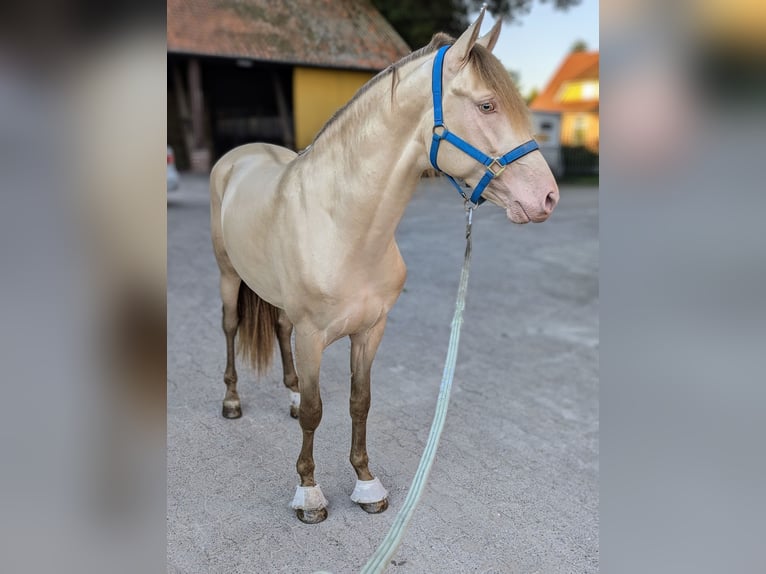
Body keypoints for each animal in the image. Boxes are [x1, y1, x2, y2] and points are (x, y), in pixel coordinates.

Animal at [210, 9, 560, 528]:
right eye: (487, 105)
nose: (547, 197)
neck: (344, 227)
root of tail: (240, 154)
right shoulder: (313, 337)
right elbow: (316, 410)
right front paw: (309, 494)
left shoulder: (371, 330)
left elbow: (360, 402)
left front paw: (366, 484)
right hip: (229, 276)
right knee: (232, 327)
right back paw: (232, 401)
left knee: (278, 327)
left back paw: (287, 396)